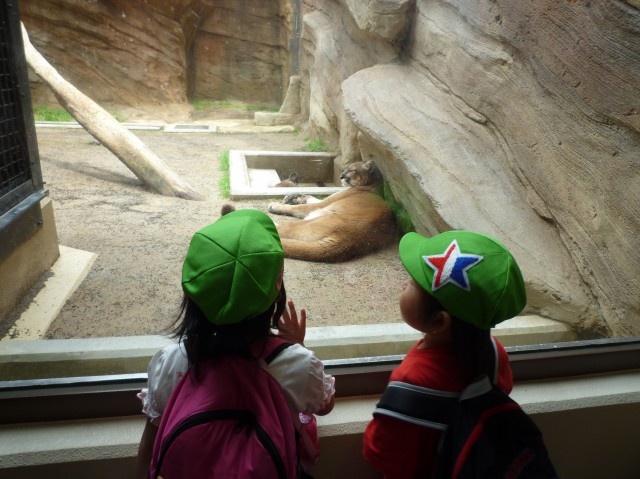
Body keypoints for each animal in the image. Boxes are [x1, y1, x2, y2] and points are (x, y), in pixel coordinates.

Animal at [265, 160, 400, 262]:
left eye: (351, 170)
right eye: (344, 169)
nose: (341, 176)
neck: (372, 186)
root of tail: (351, 240)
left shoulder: (322, 204)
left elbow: (300, 207)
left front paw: (276, 205)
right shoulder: (324, 202)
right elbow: (310, 197)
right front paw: (293, 197)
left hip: (305, 222)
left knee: (281, 228)